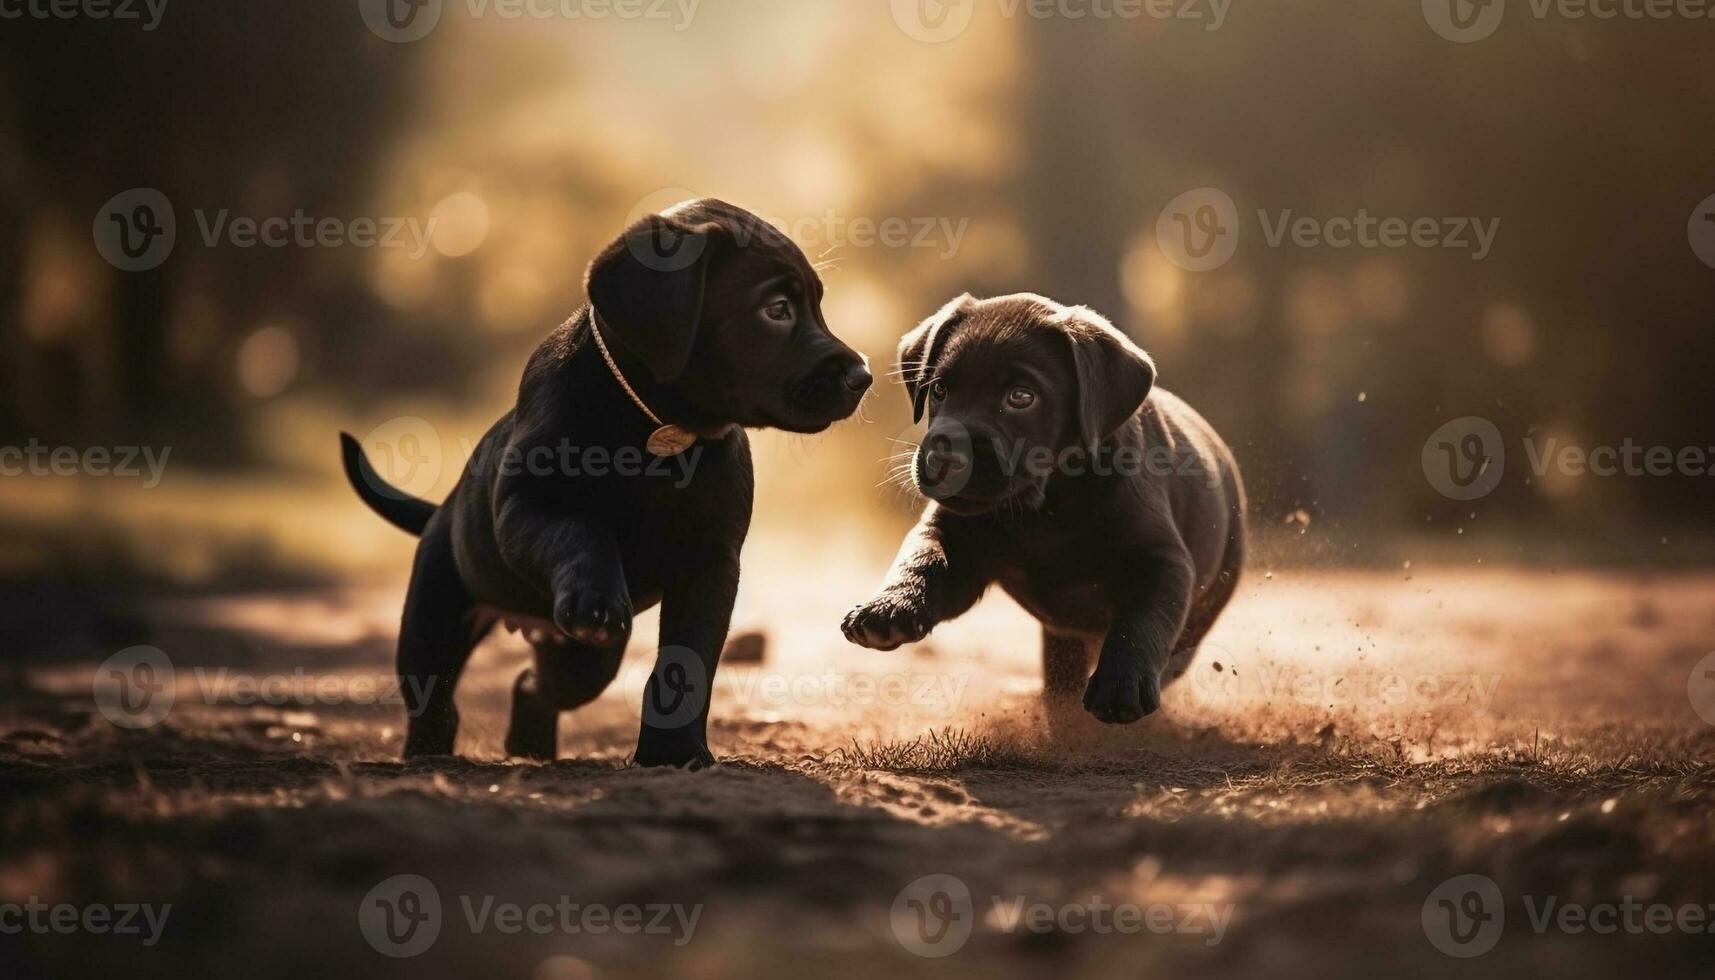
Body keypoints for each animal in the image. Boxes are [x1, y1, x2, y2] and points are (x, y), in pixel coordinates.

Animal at [341, 199, 871, 765]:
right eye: (777, 309)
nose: (862, 376)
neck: (658, 428)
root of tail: (440, 511)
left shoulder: (711, 563)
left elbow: (685, 665)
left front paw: (674, 752)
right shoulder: (529, 507)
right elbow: (581, 530)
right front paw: (594, 595)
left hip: (584, 658)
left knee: (534, 683)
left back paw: (529, 747)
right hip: (436, 614)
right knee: (433, 693)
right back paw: (429, 753)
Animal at [843, 295, 1248, 724]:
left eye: (1021, 397)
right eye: (939, 389)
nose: (945, 456)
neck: (1045, 506)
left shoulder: (1160, 560)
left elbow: (1141, 621)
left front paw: (1120, 685)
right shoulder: (954, 537)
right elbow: (921, 559)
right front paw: (888, 608)